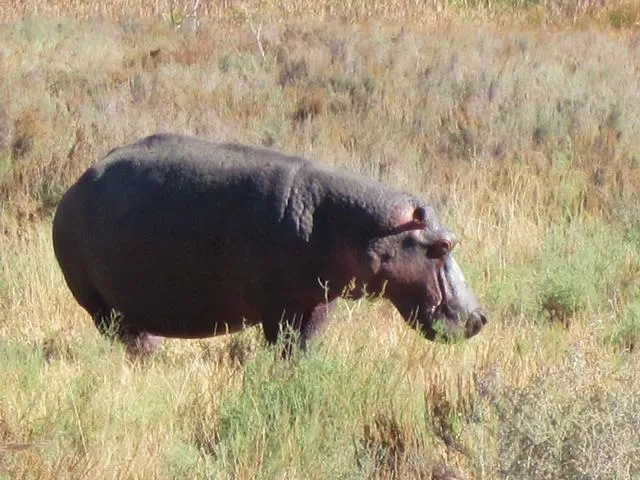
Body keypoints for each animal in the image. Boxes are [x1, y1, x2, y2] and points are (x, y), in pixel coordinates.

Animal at [52, 134, 487, 354]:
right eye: (443, 246)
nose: (481, 317)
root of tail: (72, 188)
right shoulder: (280, 310)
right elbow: (283, 346)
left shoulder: (318, 303)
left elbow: (304, 348)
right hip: (100, 306)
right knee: (126, 339)